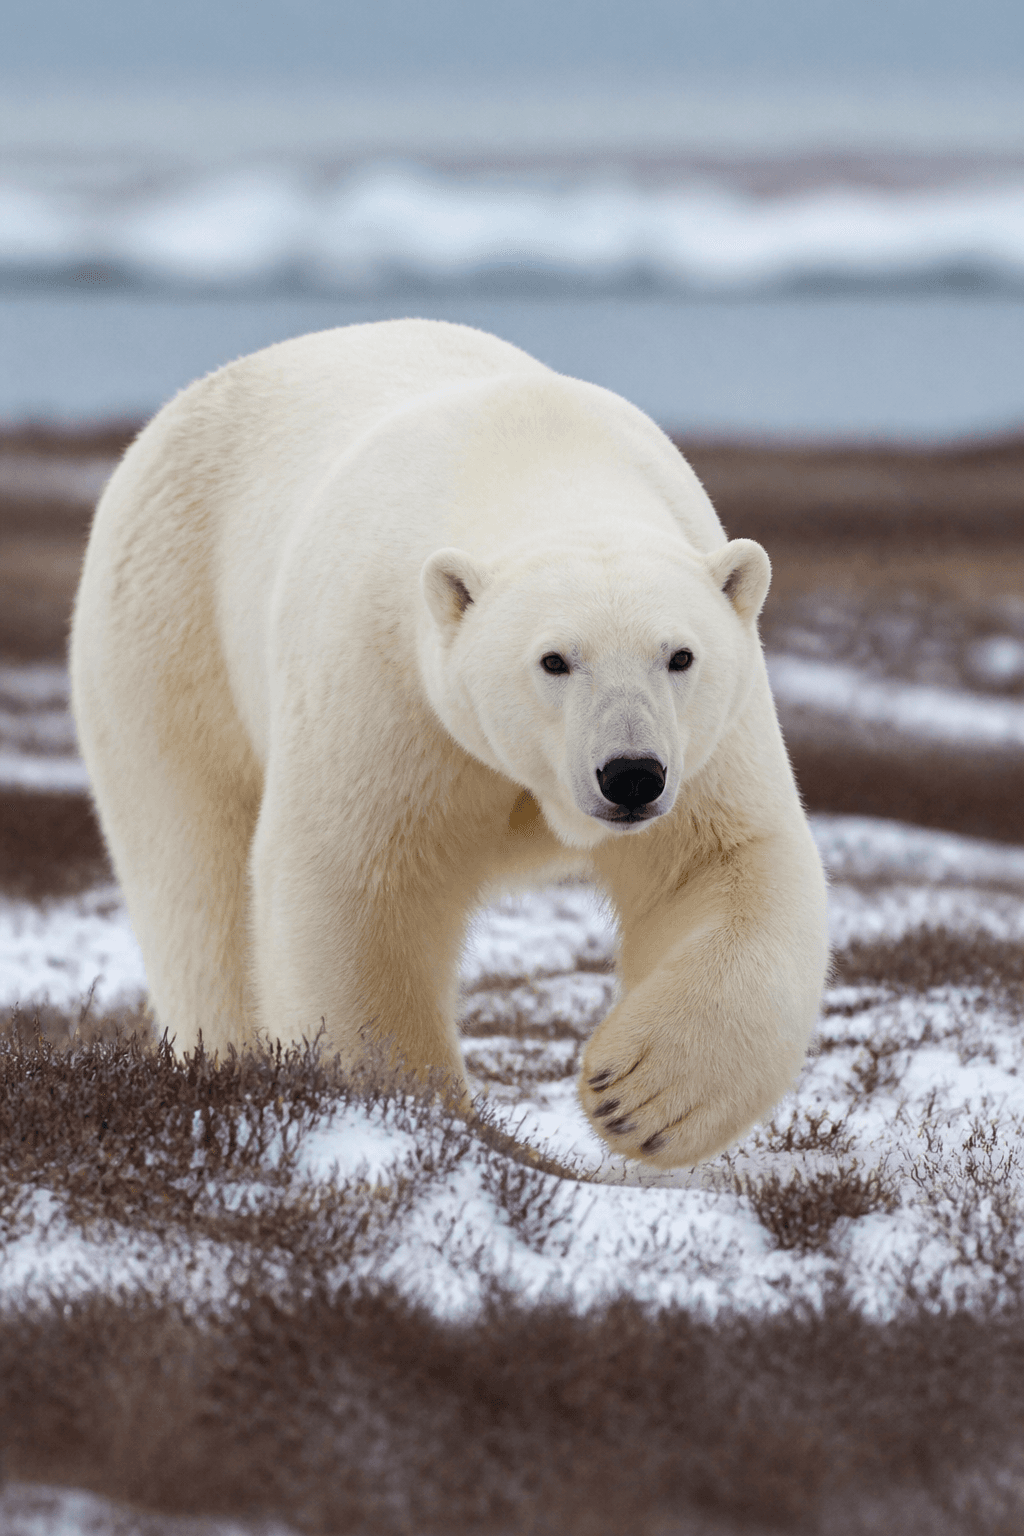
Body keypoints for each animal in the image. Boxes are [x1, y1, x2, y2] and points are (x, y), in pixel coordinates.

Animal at [70, 318, 829, 1169]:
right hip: (167, 634)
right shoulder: (388, 681)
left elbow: (723, 861)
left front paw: (636, 1095)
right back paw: (226, 1059)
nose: (631, 775)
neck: (537, 454)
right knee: (193, 871)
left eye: (680, 655)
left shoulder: (709, 737)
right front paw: (412, 1107)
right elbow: (354, 883)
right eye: (554, 659)